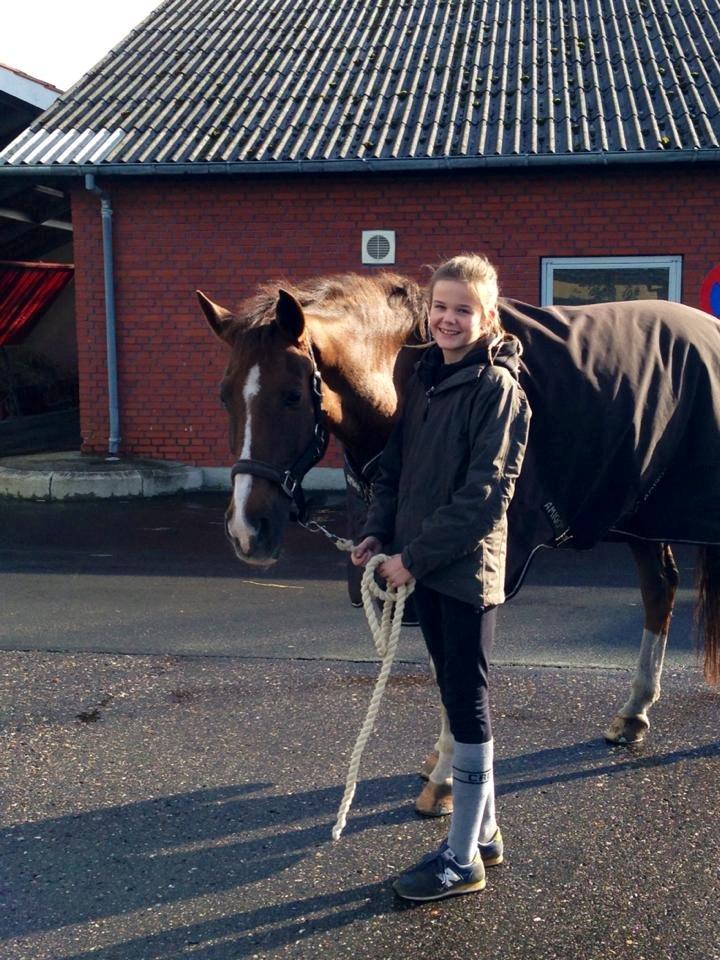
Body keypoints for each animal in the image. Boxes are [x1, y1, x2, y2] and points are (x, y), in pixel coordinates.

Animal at [197, 274, 720, 812]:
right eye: (223, 396)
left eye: (291, 396)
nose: (246, 531)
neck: (415, 385)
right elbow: (440, 665)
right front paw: (439, 759)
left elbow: (458, 668)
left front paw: (447, 781)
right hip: (641, 513)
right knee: (659, 589)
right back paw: (634, 713)